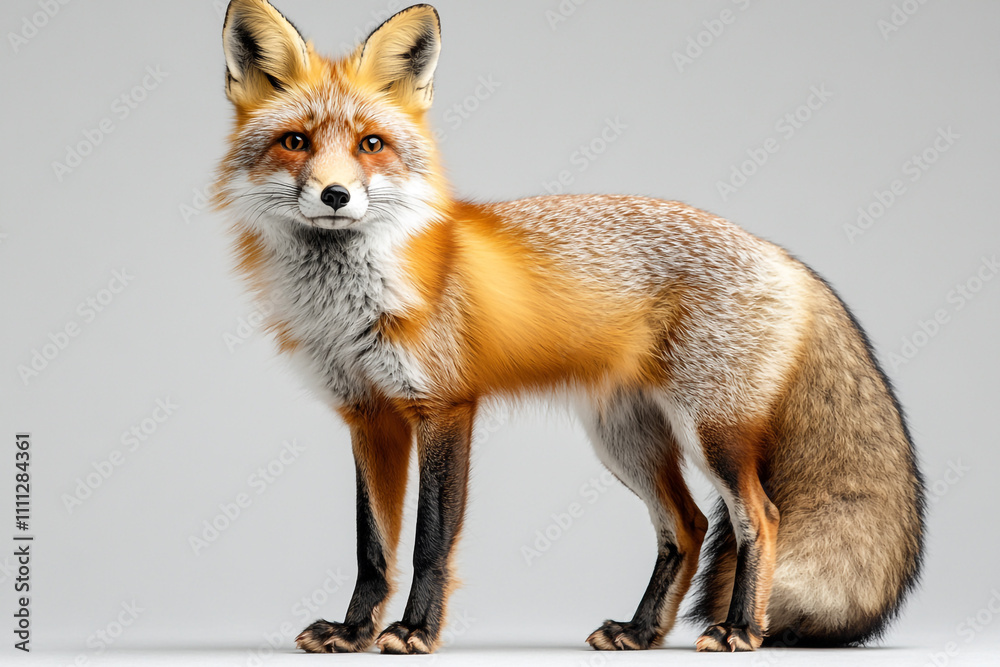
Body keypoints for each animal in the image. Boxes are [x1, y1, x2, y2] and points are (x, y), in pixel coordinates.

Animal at [213, 0, 925, 655]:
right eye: (296, 142)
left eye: (370, 144)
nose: (335, 195)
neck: (353, 300)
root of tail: (784, 257)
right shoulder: (370, 415)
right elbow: (371, 546)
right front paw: (355, 630)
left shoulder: (444, 407)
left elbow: (428, 542)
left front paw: (414, 631)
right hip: (625, 440)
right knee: (688, 527)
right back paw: (640, 630)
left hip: (713, 432)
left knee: (761, 517)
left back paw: (741, 628)